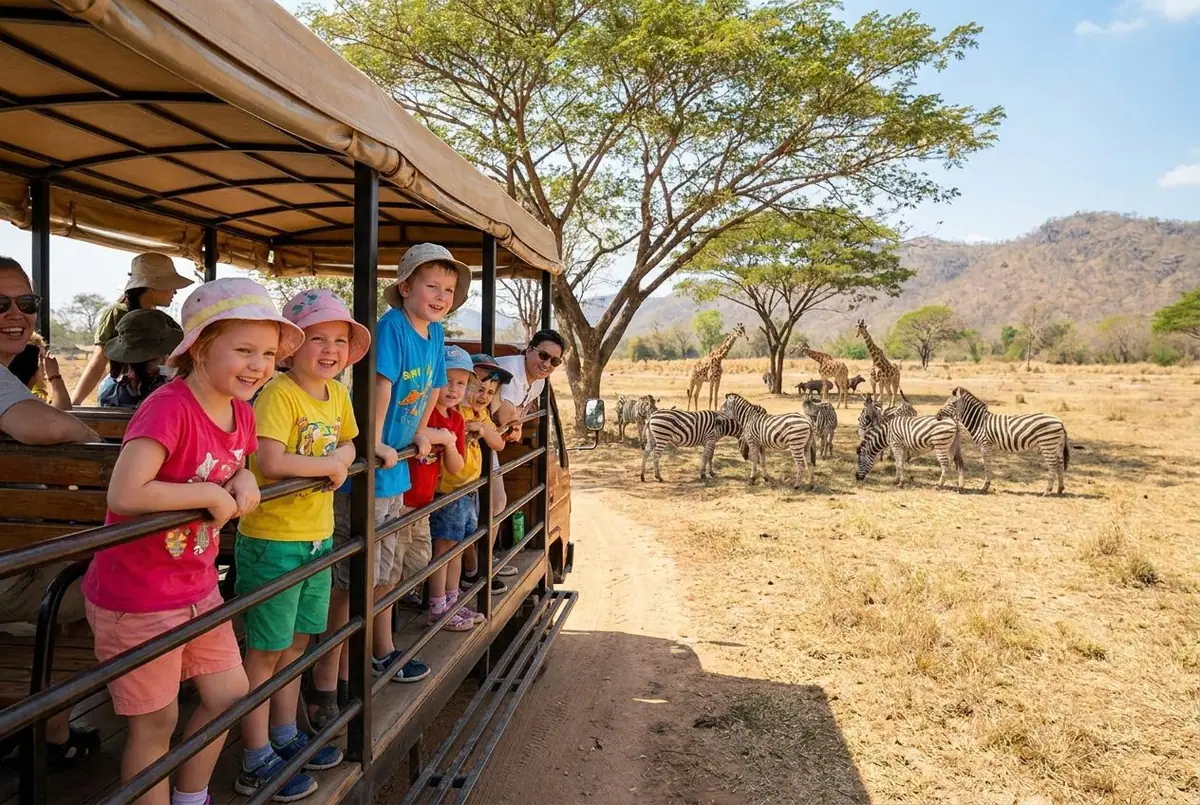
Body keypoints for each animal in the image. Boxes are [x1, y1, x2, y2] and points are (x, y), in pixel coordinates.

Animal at [935, 386, 1069, 496]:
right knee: (1060, 463)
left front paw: (985, 486)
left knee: (1053, 465)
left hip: (1047, 443)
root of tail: (1060, 422)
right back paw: (1060, 489)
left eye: (952, 403)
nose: (937, 416)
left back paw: (1047, 491)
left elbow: (986, 464)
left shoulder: (985, 444)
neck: (980, 422)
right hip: (1056, 445)